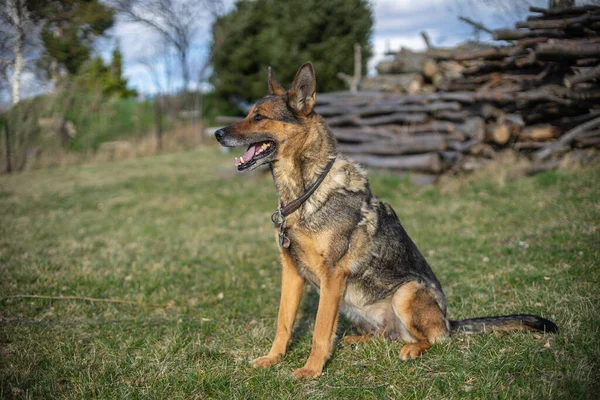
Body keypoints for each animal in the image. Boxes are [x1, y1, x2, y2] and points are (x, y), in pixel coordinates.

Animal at [214, 62, 556, 378]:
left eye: (259, 117)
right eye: (248, 113)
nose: (218, 134)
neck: (304, 193)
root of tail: (449, 321)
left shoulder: (332, 275)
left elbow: (320, 332)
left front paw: (311, 370)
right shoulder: (291, 273)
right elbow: (284, 323)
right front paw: (273, 358)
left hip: (406, 293)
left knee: (433, 339)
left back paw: (413, 348)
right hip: (355, 307)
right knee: (386, 335)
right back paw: (358, 340)